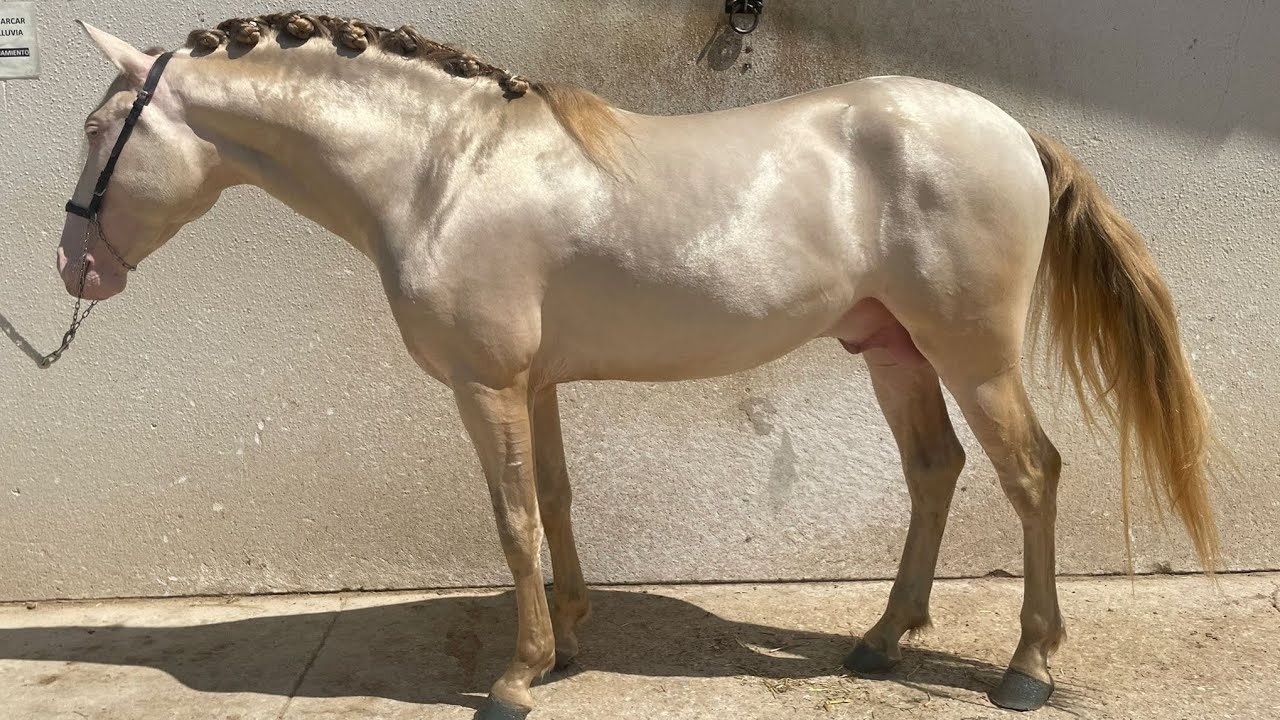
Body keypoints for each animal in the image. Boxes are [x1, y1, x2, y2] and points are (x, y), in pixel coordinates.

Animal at [56, 13, 1220, 719]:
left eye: (100, 126)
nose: (74, 266)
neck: (441, 172)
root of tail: (1008, 129)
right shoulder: (533, 385)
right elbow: (555, 501)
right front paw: (567, 644)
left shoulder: (487, 387)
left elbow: (512, 518)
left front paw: (516, 676)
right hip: (891, 350)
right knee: (934, 473)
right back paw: (881, 642)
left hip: (969, 355)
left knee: (1031, 474)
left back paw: (1027, 667)